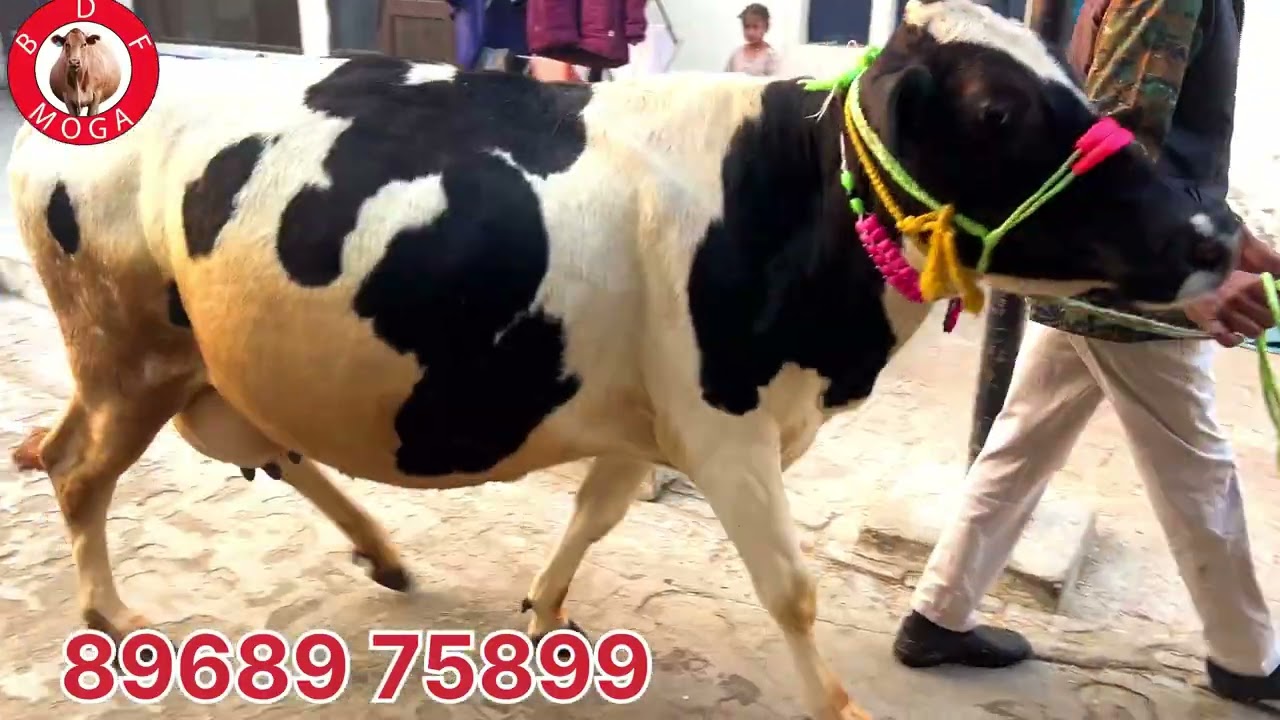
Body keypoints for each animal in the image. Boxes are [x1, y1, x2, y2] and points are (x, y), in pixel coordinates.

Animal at [5, 1, 1241, 717]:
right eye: (993, 112)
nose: (1215, 237)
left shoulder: (654, 417)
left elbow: (595, 513)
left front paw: (543, 612)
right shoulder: (725, 424)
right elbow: (790, 590)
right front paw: (838, 704)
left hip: (192, 355)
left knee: (252, 447)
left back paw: (384, 555)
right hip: (125, 345)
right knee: (78, 467)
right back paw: (112, 618)